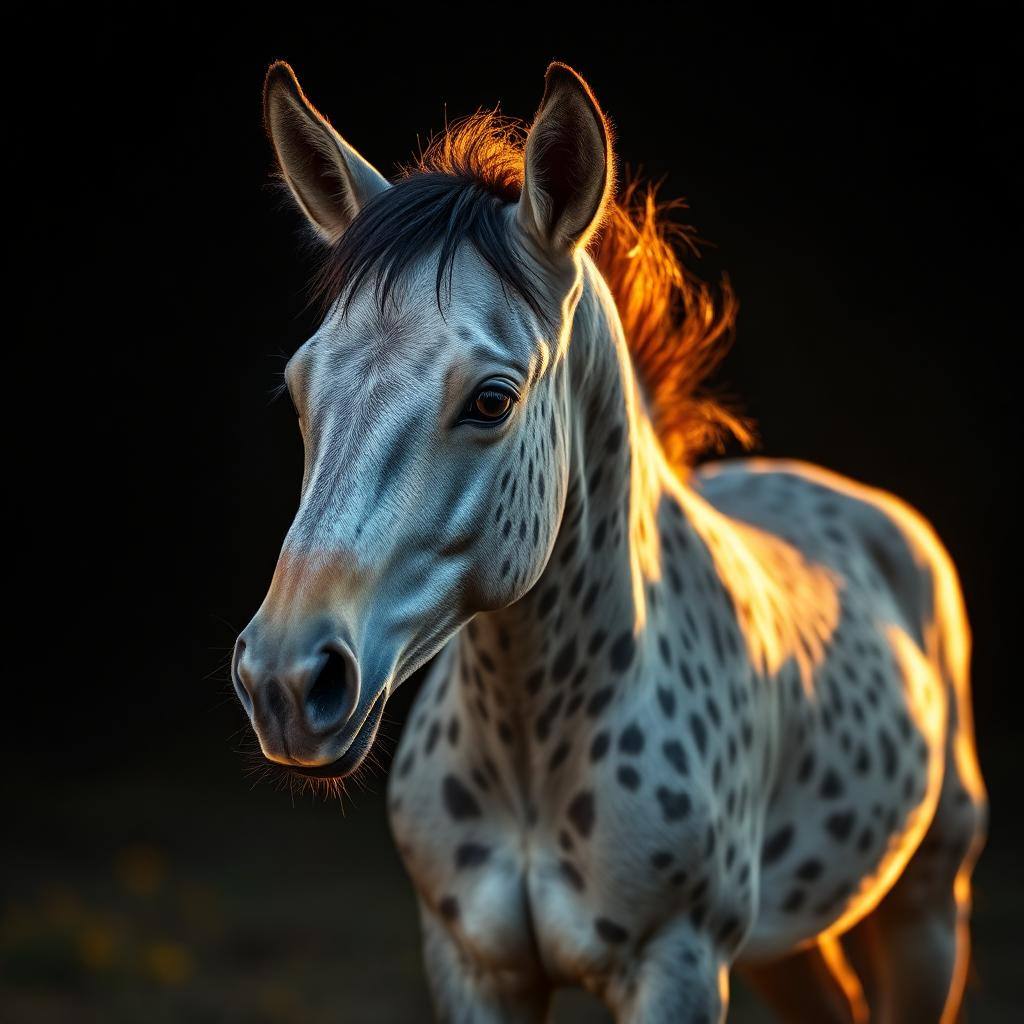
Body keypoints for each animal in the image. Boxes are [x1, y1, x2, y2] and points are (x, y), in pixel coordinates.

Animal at [232, 60, 987, 1022]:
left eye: (491, 399)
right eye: (299, 388)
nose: (286, 682)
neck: (528, 755)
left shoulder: (677, 963)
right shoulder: (472, 965)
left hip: (926, 909)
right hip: (789, 943)